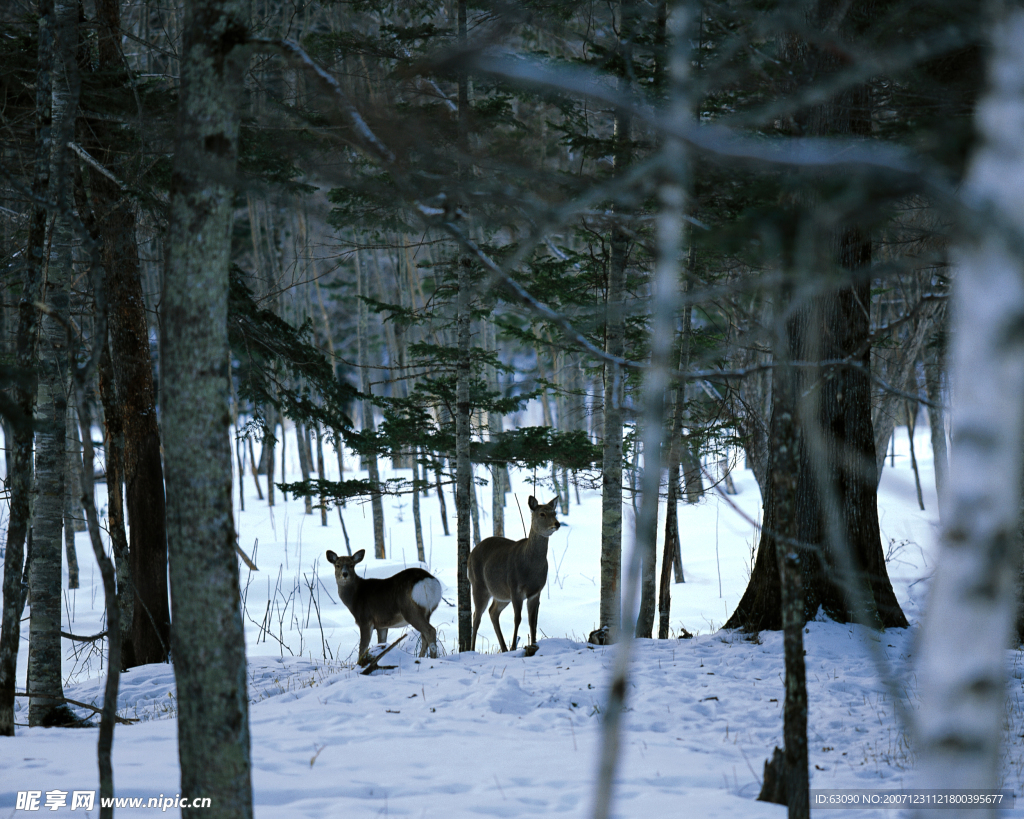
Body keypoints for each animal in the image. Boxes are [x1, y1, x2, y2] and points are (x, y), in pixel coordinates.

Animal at [468, 493, 561, 651]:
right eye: (542, 514)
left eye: (554, 513)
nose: (557, 524)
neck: (531, 568)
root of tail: (471, 553)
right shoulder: (515, 588)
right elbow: (517, 618)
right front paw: (513, 647)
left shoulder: (536, 591)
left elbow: (533, 620)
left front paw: (534, 644)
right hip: (478, 585)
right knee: (476, 616)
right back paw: (472, 649)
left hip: (501, 594)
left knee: (492, 612)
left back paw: (503, 648)